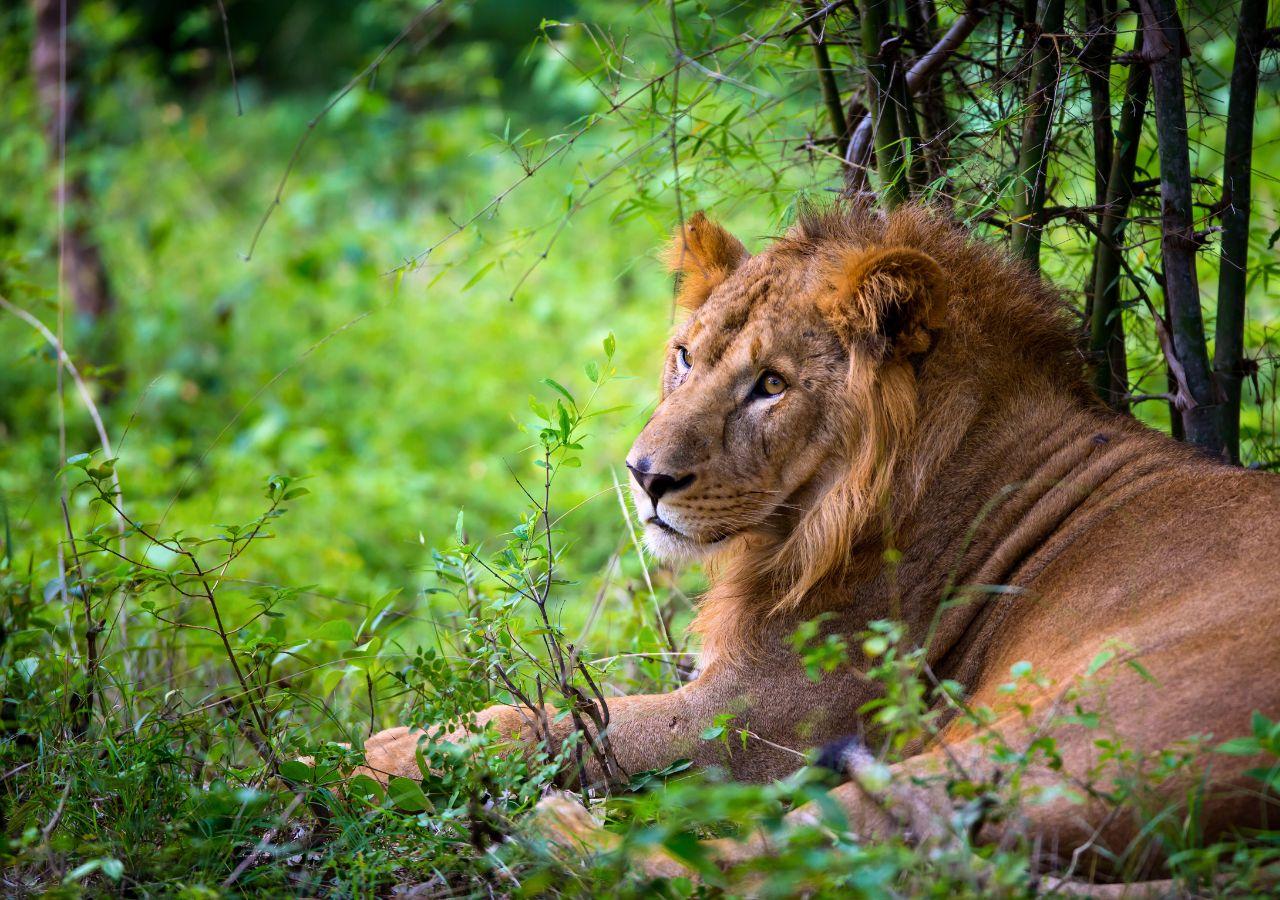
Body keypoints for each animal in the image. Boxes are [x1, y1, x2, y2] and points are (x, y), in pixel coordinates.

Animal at [361, 203, 1280, 879]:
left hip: (1054, 740)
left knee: (765, 862)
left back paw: (554, 836)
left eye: (771, 385)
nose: (645, 476)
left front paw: (400, 747)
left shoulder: (765, 714)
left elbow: (580, 726)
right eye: (684, 356)